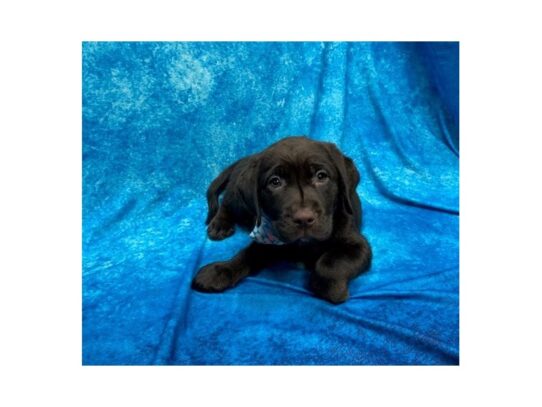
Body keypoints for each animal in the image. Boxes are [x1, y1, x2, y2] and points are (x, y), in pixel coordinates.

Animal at [192, 136, 374, 302]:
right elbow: (246, 254)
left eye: (321, 176)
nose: (304, 219)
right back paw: (219, 225)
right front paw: (219, 270)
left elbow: (330, 263)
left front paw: (332, 289)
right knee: (226, 201)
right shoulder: (268, 238)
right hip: (239, 200)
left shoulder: (358, 245)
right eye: (275, 182)